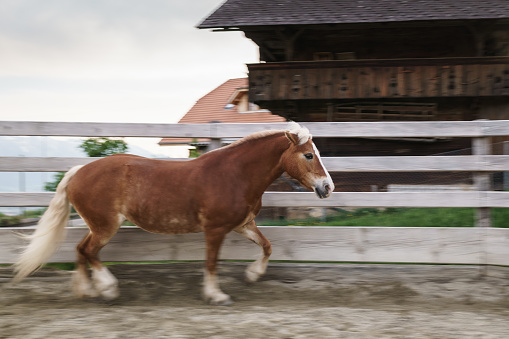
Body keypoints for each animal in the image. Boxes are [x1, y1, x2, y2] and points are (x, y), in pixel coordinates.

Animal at [12, 123, 334, 306]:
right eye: (308, 155)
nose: (327, 187)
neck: (235, 175)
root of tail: (78, 171)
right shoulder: (215, 229)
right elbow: (211, 263)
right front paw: (217, 296)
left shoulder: (243, 225)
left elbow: (267, 246)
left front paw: (252, 275)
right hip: (105, 226)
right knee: (89, 251)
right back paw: (108, 290)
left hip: (98, 225)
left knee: (81, 250)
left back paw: (87, 292)